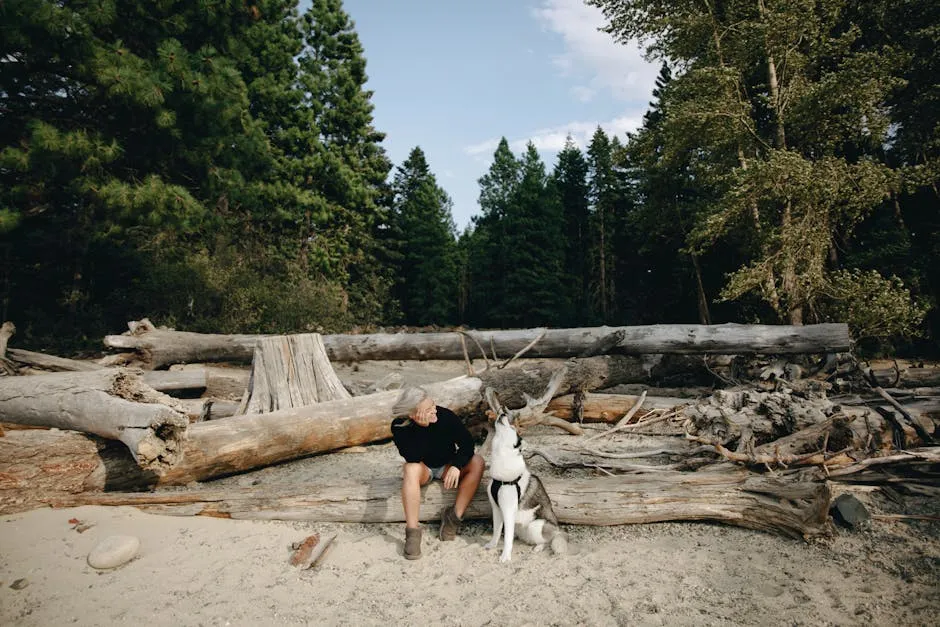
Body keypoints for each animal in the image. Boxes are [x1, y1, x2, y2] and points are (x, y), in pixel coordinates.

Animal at [484, 392, 564, 564]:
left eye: (513, 427)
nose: (502, 412)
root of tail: (558, 529)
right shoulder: (496, 508)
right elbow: (496, 531)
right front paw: (493, 545)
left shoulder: (508, 510)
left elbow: (507, 538)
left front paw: (505, 556)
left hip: (536, 526)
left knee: (546, 541)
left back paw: (539, 547)